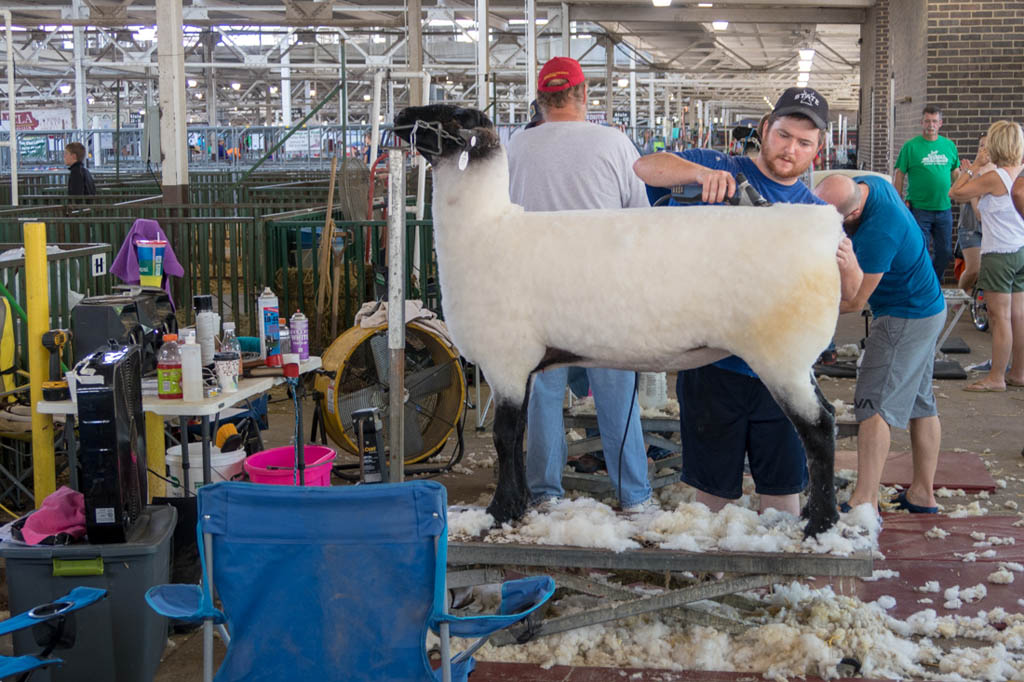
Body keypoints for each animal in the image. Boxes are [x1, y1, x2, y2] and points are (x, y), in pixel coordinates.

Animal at [395, 102, 843, 536]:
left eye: (456, 116)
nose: (400, 116)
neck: (484, 227)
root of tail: (824, 227)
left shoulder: (506, 360)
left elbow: (505, 439)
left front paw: (500, 511)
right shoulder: (524, 368)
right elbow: (519, 435)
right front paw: (517, 506)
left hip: (781, 355)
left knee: (819, 428)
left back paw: (820, 523)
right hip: (795, 361)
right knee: (825, 418)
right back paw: (815, 516)